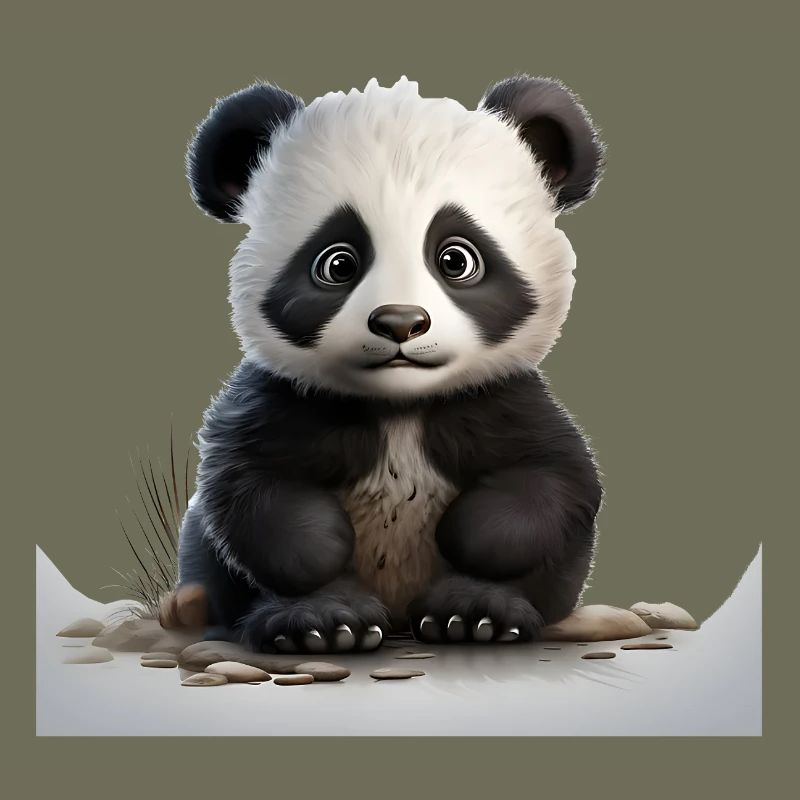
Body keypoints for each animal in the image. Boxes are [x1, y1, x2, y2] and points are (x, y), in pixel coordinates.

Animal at [162, 75, 605, 654]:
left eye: (456, 259)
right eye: (337, 263)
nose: (400, 322)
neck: (400, 407)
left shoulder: (502, 399)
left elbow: (556, 479)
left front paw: (468, 537)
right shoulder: (279, 400)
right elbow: (247, 487)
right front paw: (324, 548)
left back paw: (473, 615)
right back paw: (322, 623)